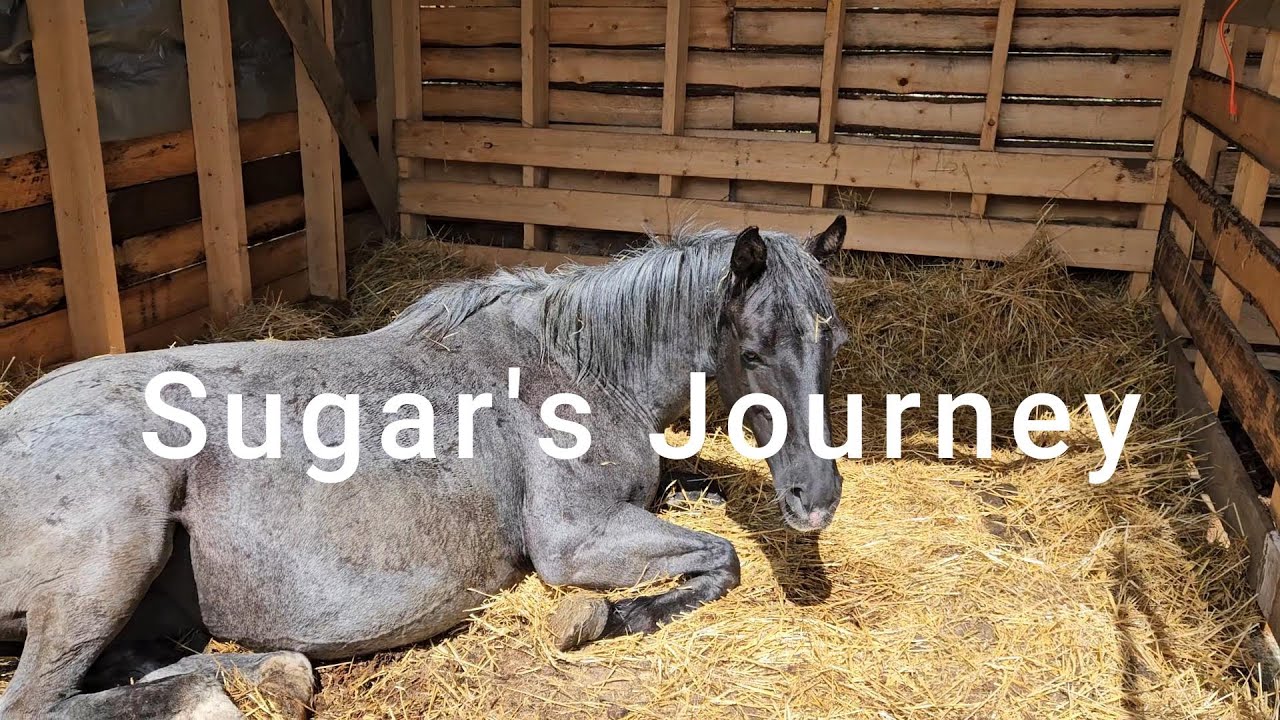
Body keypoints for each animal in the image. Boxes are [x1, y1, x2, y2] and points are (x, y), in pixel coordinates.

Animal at [0, 217, 849, 718]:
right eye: (752, 352)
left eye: (831, 340)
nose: (815, 498)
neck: (576, 368)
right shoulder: (575, 539)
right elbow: (723, 557)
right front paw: (603, 618)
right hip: (113, 556)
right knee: (38, 703)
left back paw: (263, 674)